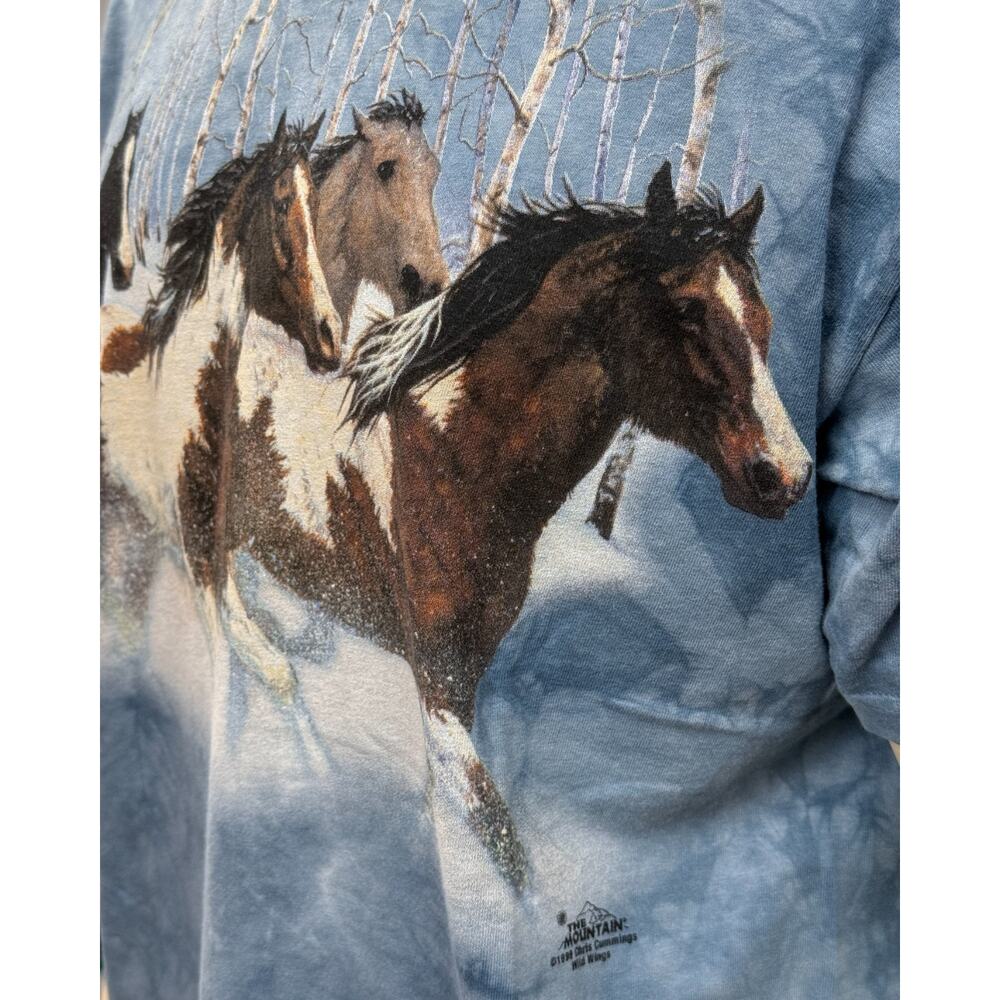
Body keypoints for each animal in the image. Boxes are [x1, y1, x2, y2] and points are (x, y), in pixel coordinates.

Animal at [101, 112, 342, 703]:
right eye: (282, 203)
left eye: (318, 203)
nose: (332, 338)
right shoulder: (196, 560)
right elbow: (227, 674)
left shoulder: (219, 558)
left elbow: (274, 668)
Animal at [182, 159, 811, 888]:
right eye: (688, 309)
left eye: (762, 315)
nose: (786, 473)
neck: (457, 455)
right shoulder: (437, 684)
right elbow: (503, 844)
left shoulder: (465, 684)